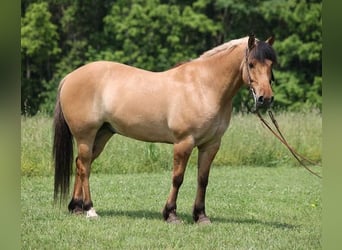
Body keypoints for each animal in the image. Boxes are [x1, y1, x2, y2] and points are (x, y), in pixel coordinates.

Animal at [54, 34, 278, 224]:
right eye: (251, 64)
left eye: (271, 65)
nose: (265, 98)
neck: (204, 87)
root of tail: (69, 77)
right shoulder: (184, 142)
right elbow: (177, 178)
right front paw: (171, 214)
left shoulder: (211, 145)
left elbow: (203, 179)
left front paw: (201, 216)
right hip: (86, 135)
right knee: (84, 166)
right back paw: (90, 209)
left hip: (102, 135)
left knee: (81, 164)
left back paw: (76, 208)